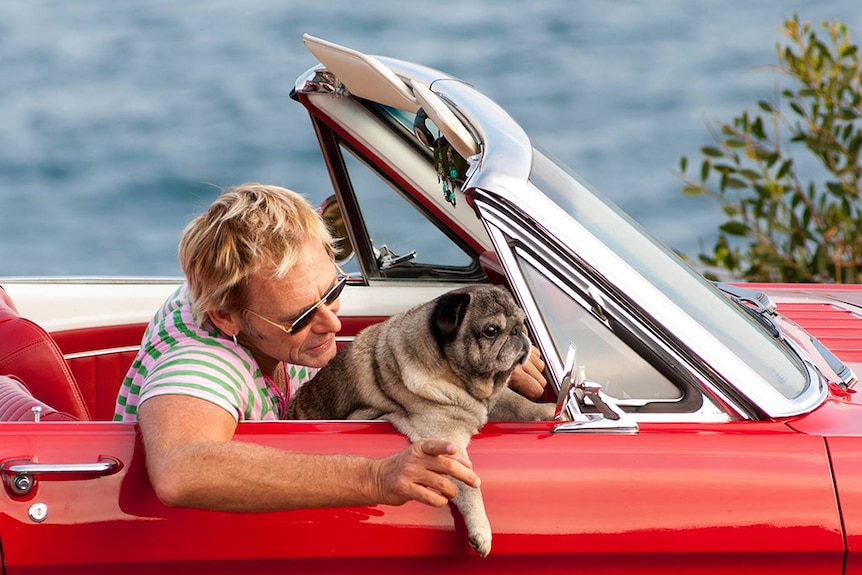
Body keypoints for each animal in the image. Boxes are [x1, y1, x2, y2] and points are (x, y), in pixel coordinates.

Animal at [286, 284, 556, 560]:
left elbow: (517, 403)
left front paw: (549, 410)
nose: (518, 332)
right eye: (491, 331)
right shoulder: (445, 436)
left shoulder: (490, 399)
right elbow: (469, 484)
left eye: (522, 323)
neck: (457, 377)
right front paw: (481, 530)